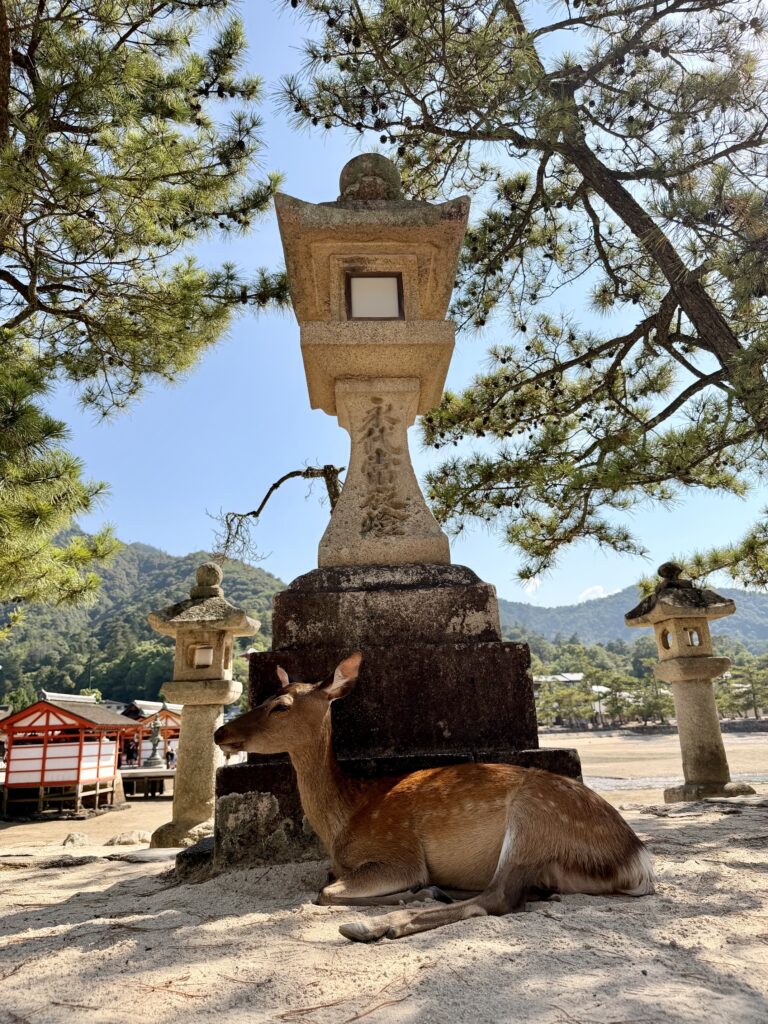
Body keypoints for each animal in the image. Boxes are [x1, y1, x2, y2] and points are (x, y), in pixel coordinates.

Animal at [214, 652, 654, 943]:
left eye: (280, 705)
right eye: (265, 697)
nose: (221, 732)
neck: (344, 820)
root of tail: (637, 860)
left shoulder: (398, 855)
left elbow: (326, 892)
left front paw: (414, 893)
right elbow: (326, 883)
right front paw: (424, 892)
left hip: (533, 822)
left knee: (498, 898)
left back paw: (375, 926)